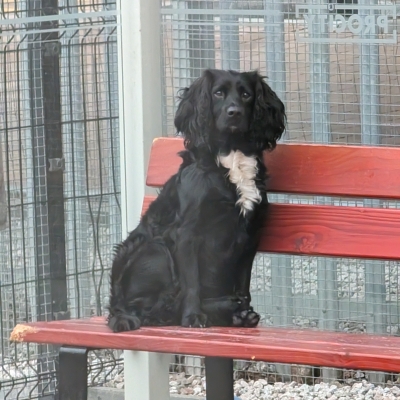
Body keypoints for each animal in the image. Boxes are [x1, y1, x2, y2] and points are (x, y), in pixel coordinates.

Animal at [108, 70, 286, 332]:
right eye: (218, 93)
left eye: (246, 95)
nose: (234, 112)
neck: (231, 156)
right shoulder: (187, 233)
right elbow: (192, 282)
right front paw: (193, 316)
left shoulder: (251, 235)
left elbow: (243, 285)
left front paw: (243, 311)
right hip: (157, 251)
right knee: (152, 308)